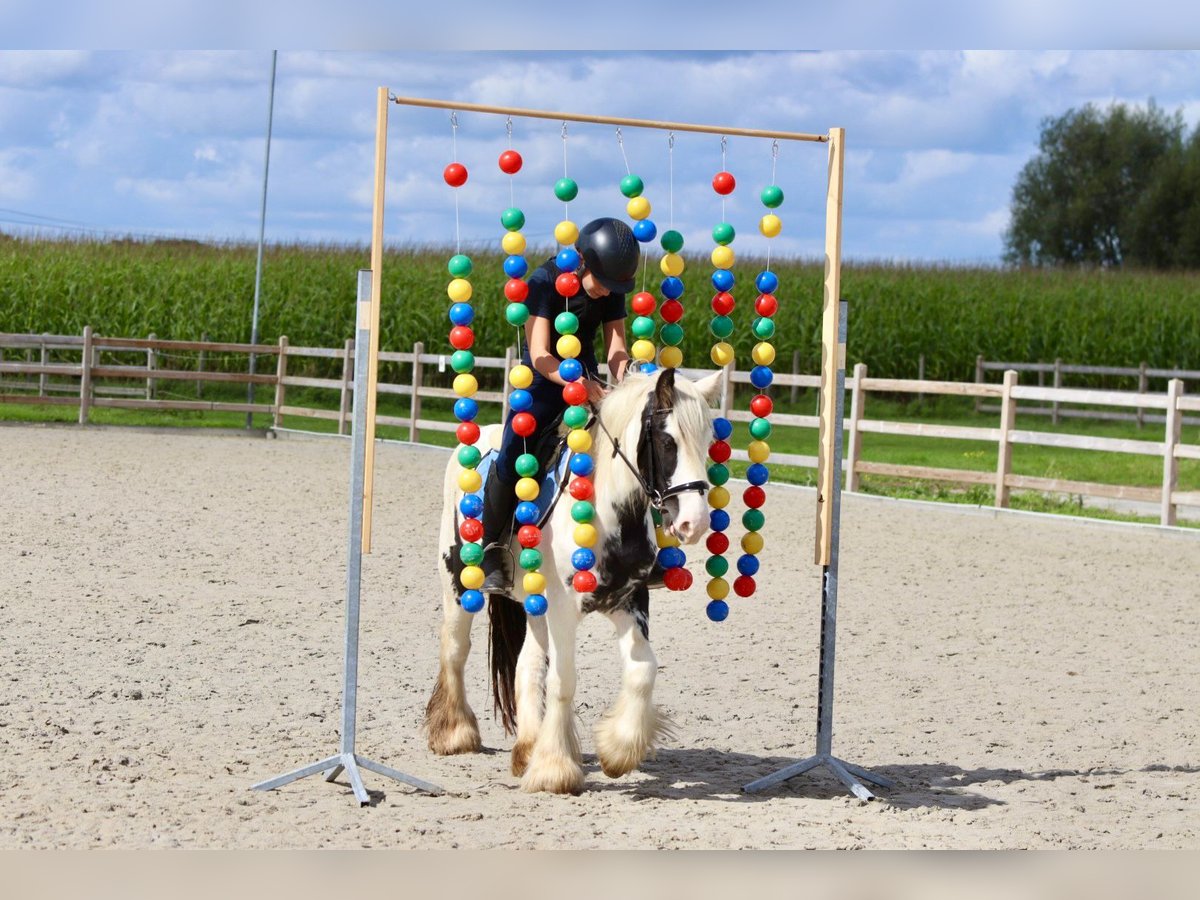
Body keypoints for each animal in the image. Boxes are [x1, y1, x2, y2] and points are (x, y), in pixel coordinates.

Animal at [427, 367, 720, 796]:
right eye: (668, 442)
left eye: (707, 443)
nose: (693, 523)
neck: (605, 513)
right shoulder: (564, 609)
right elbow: (564, 680)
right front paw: (555, 770)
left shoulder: (628, 602)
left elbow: (642, 670)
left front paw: (618, 752)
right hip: (457, 585)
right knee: (454, 648)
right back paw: (455, 734)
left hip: (534, 605)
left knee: (527, 664)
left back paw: (527, 748)